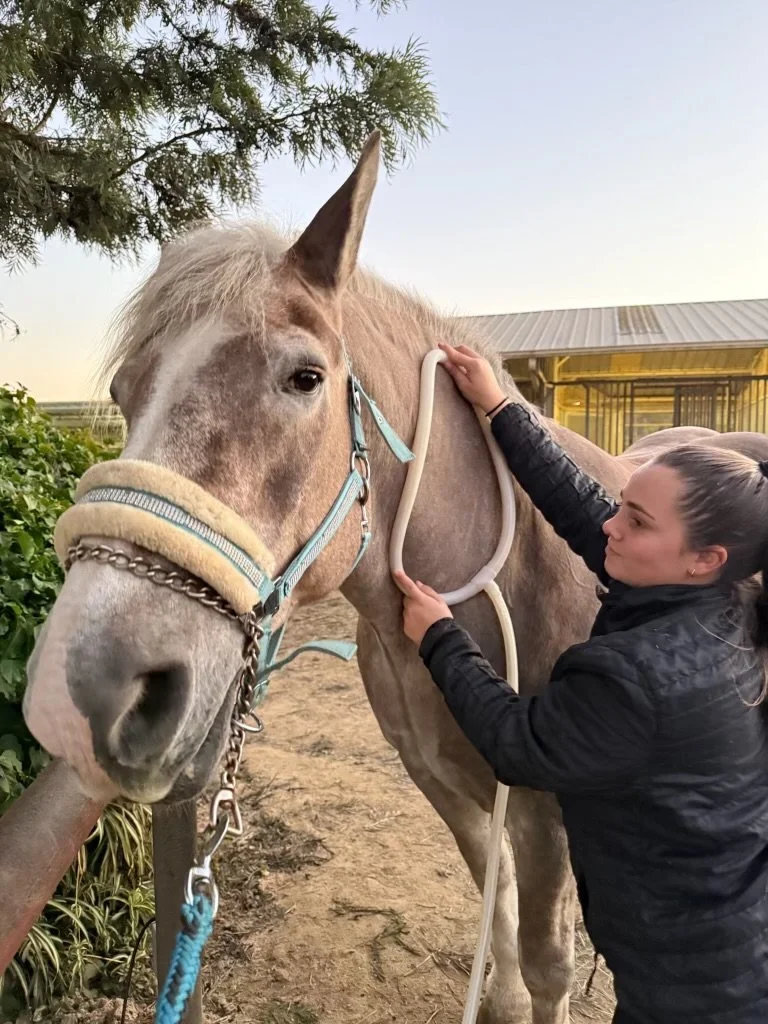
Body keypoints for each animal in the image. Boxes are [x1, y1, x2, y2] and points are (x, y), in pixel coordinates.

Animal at [23, 132, 768, 1023]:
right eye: (124, 389)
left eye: (305, 377)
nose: (75, 693)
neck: (493, 579)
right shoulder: (452, 791)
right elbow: (501, 947)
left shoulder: (549, 815)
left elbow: (548, 967)